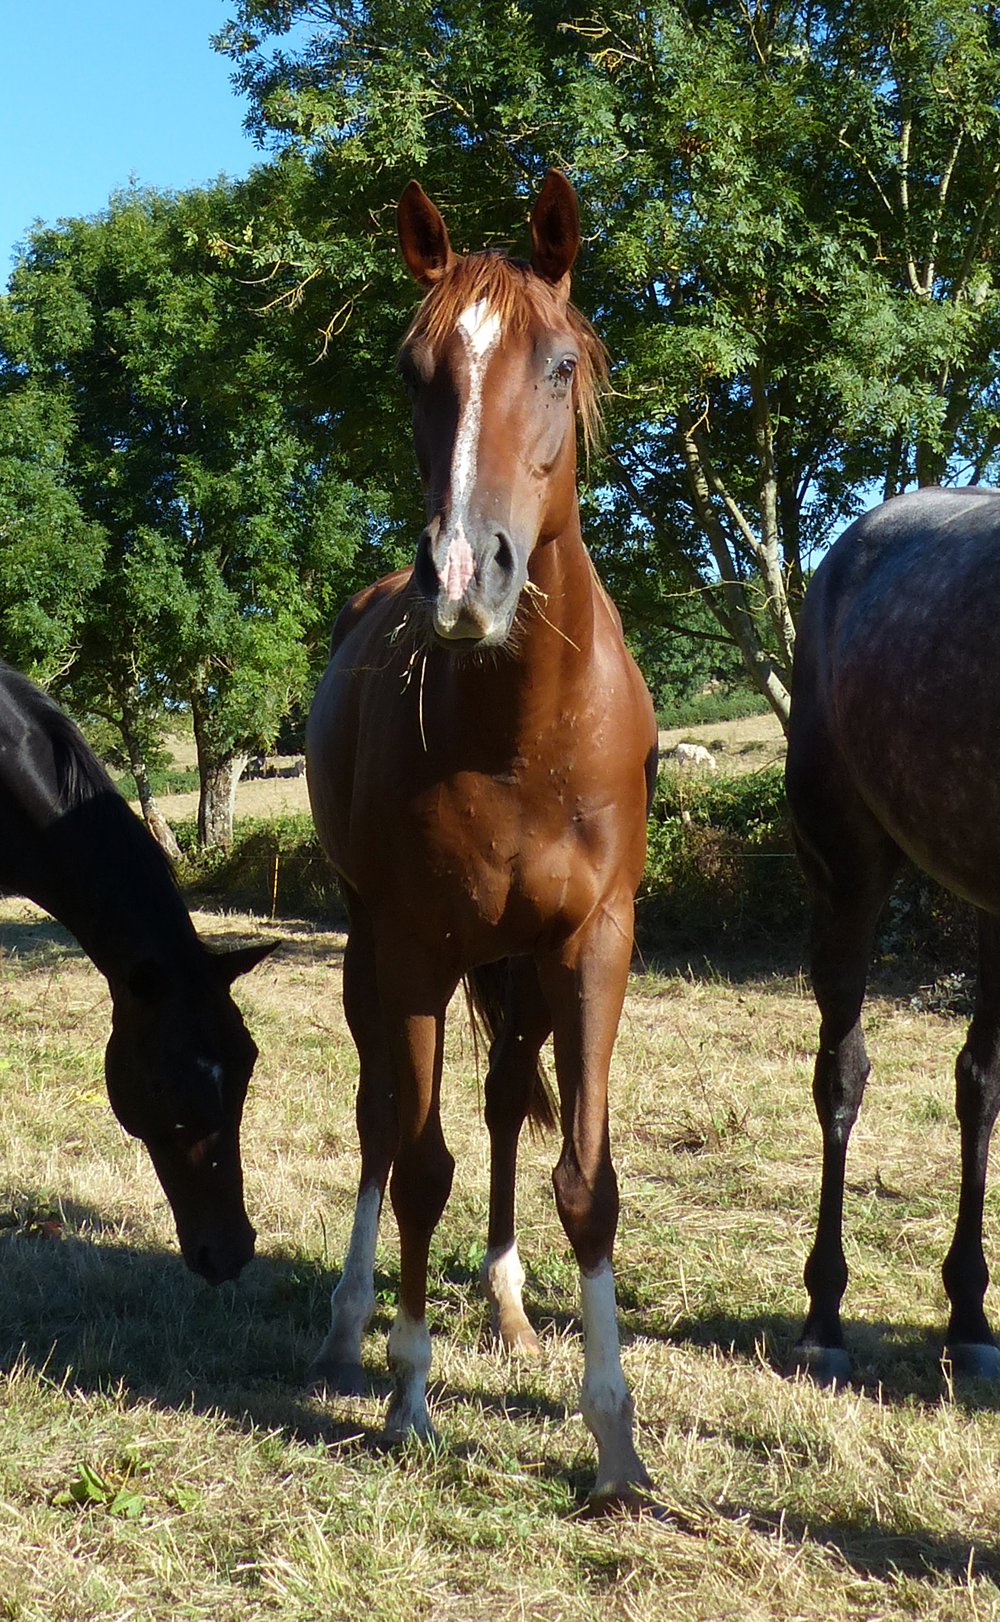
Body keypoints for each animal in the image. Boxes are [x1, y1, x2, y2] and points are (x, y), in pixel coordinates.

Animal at [306, 171, 658, 1508]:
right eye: (415, 371)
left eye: (558, 363)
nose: (464, 577)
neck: (520, 738)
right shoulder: (410, 947)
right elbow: (417, 1161)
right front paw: (408, 1394)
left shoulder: (593, 946)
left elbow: (585, 1182)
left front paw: (613, 1440)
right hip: (374, 951)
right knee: (379, 1121)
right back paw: (351, 1317)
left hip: (514, 968)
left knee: (509, 1103)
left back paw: (505, 1306)